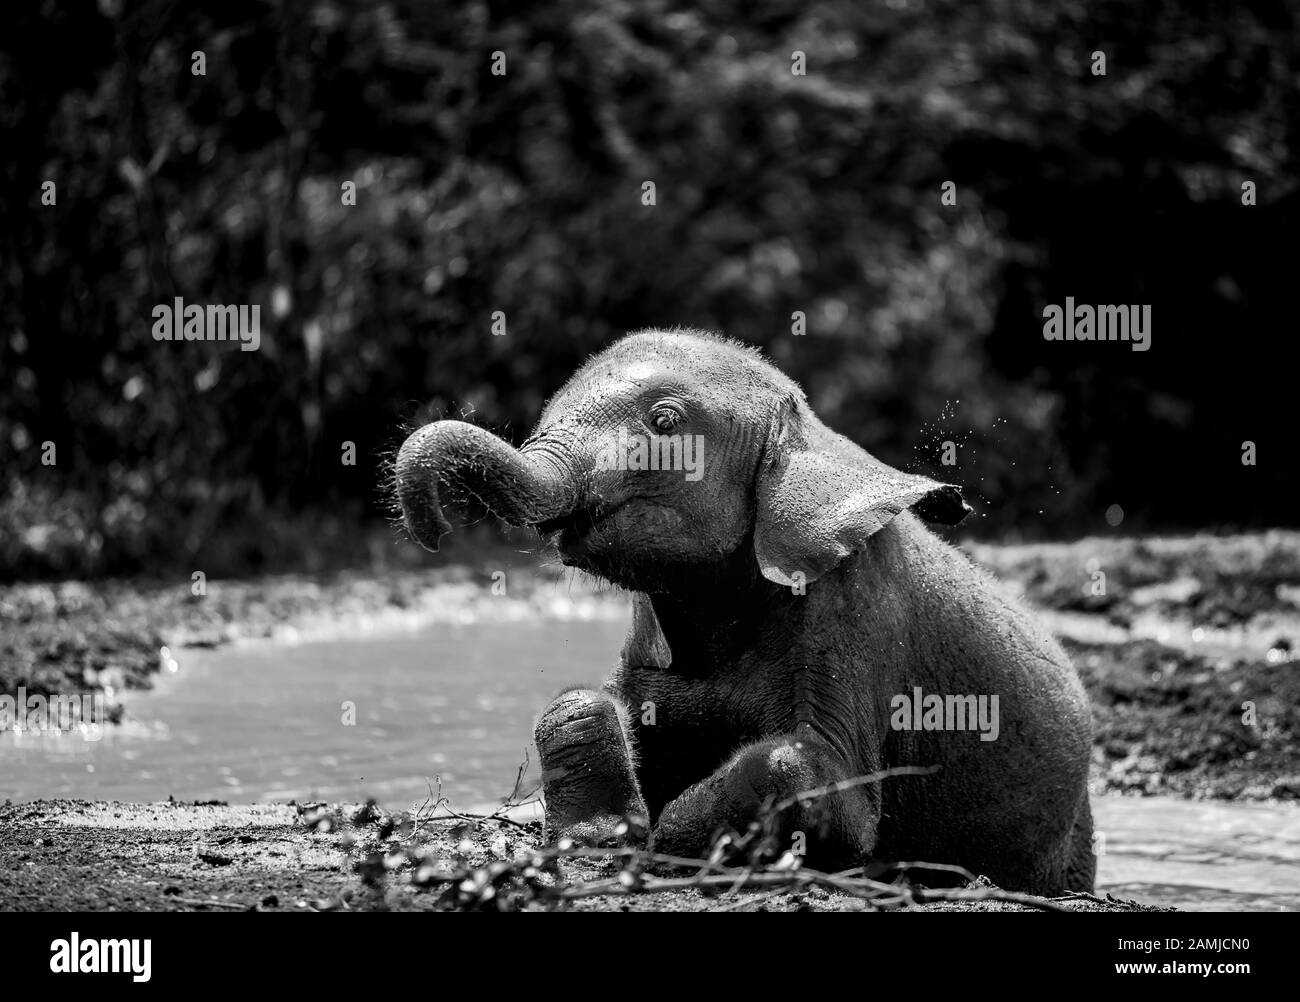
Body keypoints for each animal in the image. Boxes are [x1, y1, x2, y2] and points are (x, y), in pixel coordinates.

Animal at [397, 328, 1097, 894]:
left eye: (665, 422)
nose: (434, 531)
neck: (804, 425)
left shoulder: (852, 612)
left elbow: (819, 780)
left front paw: (663, 845)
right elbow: (584, 706)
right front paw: (603, 835)